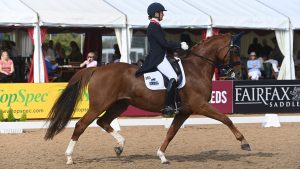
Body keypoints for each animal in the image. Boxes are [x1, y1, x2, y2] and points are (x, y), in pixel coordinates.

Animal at [44, 33, 251, 164]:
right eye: (234, 50)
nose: (237, 71)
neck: (197, 68)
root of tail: (97, 69)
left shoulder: (184, 111)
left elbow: (171, 133)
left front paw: (162, 156)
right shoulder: (200, 105)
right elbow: (226, 119)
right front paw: (244, 143)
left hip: (119, 105)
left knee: (103, 122)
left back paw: (120, 146)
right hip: (99, 105)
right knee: (81, 125)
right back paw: (69, 157)